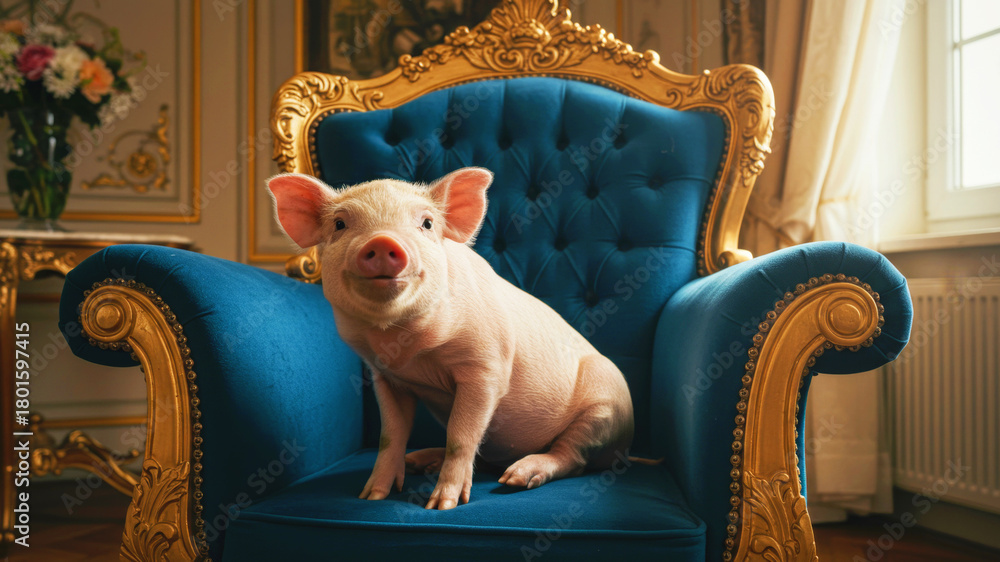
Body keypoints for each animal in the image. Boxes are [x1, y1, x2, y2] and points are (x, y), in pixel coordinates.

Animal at [267, 167, 634, 510]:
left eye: (427, 223)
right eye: (340, 223)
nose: (382, 241)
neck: (407, 349)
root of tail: (624, 448)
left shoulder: (486, 368)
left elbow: (461, 435)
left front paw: (442, 505)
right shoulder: (387, 378)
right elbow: (390, 436)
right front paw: (371, 496)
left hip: (603, 407)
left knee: (572, 457)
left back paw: (515, 478)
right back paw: (420, 461)